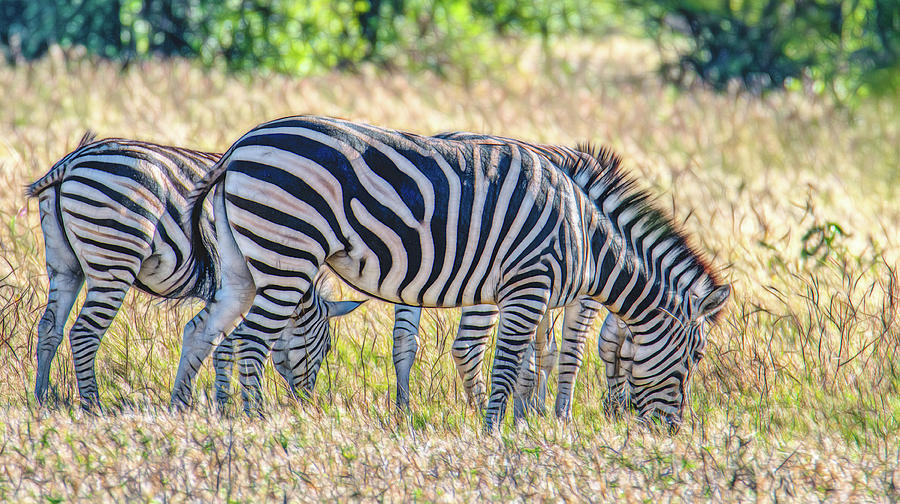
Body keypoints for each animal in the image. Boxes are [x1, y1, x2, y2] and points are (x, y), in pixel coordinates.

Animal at [183, 116, 732, 432]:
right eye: (697, 356)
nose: (670, 432)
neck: (587, 238)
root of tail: (239, 146)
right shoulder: (529, 285)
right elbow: (513, 363)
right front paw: (501, 433)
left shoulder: (532, 295)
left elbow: (533, 360)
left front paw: (525, 424)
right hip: (288, 255)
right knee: (251, 341)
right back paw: (258, 423)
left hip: (242, 263)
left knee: (205, 330)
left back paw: (184, 409)